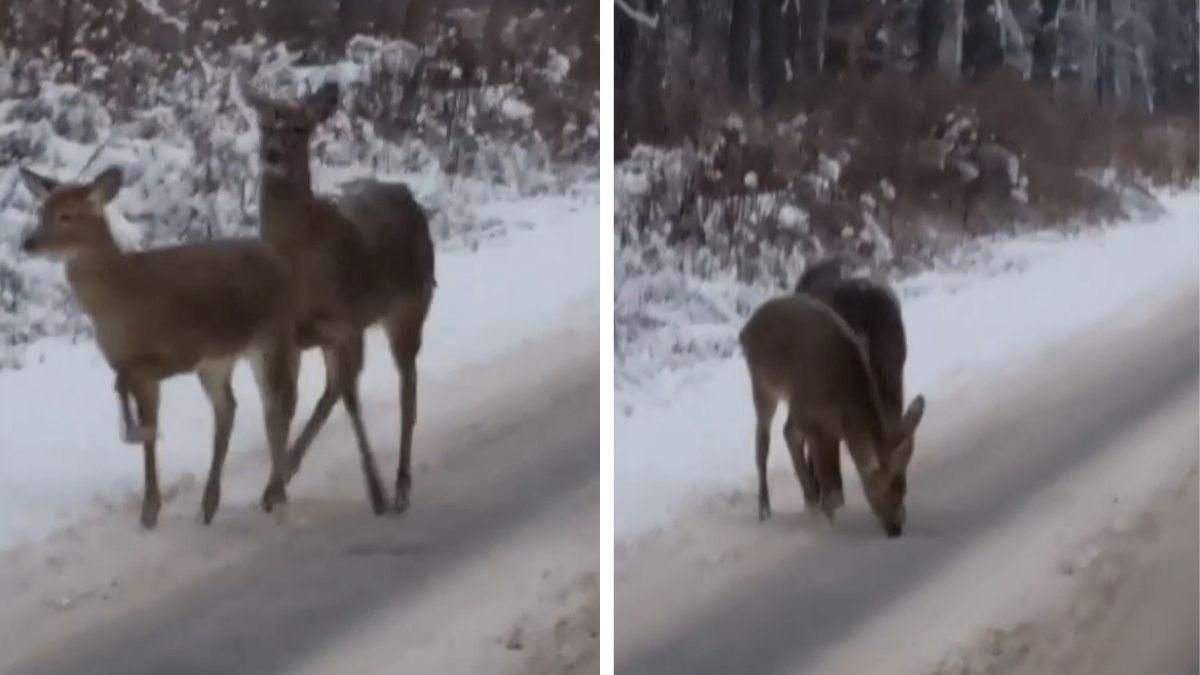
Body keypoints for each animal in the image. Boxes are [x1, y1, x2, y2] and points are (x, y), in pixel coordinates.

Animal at [19, 165, 300, 528]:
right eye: (41, 212)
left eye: (66, 215)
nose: (28, 242)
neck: (121, 300)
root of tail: (279, 259)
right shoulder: (144, 366)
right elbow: (147, 426)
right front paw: (149, 508)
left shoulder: (181, 350)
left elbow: (123, 382)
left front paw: (132, 433)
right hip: (220, 360)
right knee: (231, 407)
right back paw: (211, 503)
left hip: (272, 336)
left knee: (278, 405)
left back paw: (276, 496)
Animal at [241, 81, 434, 511]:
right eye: (263, 124)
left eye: (299, 128)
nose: (271, 154)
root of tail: (411, 199)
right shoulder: (288, 336)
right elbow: (282, 404)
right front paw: (273, 488)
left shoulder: (344, 322)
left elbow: (348, 397)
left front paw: (376, 492)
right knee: (335, 387)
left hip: (410, 306)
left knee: (407, 387)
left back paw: (400, 486)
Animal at [734, 291, 921, 533]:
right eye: (879, 487)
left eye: (904, 488)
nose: (895, 529)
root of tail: (746, 328)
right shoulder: (814, 421)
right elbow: (829, 483)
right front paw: (830, 518)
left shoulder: (826, 426)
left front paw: (825, 507)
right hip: (763, 384)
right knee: (763, 442)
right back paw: (765, 509)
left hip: (792, 399)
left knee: (788, 431)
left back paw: (810, 497)